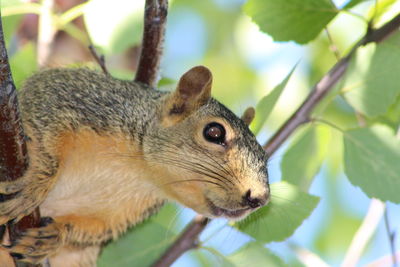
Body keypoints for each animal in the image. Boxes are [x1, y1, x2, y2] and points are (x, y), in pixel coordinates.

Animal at [0, 65, 270, 267]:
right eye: (214, 132)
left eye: (265, 156)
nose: (259, 198)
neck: (139, 171)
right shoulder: (69, 95)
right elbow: (44, 133)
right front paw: (35, 183)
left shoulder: (124, 213)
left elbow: (95, 229)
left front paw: (55, 234)